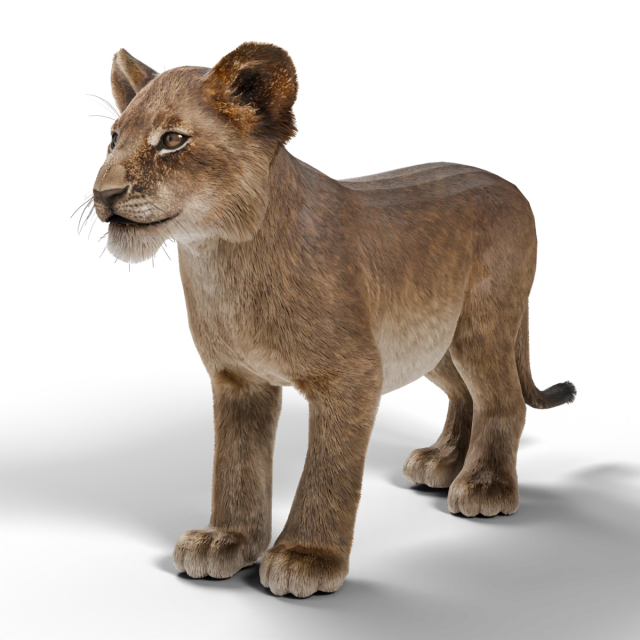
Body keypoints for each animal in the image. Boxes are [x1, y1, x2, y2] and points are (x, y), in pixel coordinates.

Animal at [87, 42, 577, 597]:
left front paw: (306, 556)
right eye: (115, 136)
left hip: (482, 325)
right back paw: (442, 461)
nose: (102, 194)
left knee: (503, 401)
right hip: (428, 341)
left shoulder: (352, 374)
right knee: (464, 393)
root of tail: (512, 187)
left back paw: (483, 485)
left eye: (173, 140)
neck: (221, 257)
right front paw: (225, 540)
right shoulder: (238, 380)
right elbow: (235, 463)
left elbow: (329, 466)